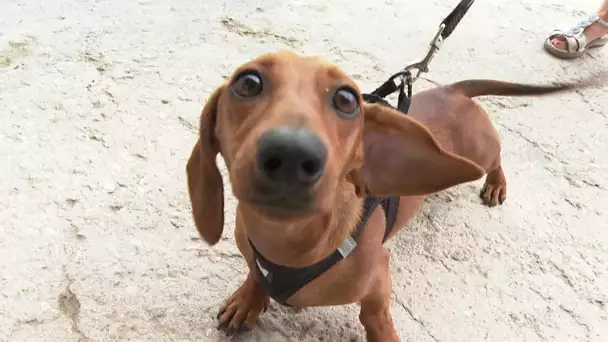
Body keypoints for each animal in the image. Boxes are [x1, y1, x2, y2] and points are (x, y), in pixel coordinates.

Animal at [186, 49, 600, 340]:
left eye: (347, 99)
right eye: (248, 83)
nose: (291, 154)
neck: (288, 244)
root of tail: (452, 90)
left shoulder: (378, 274)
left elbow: (374, 316)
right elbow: (256, 272)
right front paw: (248, 299)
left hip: (480, 154)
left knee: (497, 156)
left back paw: (496, 182)